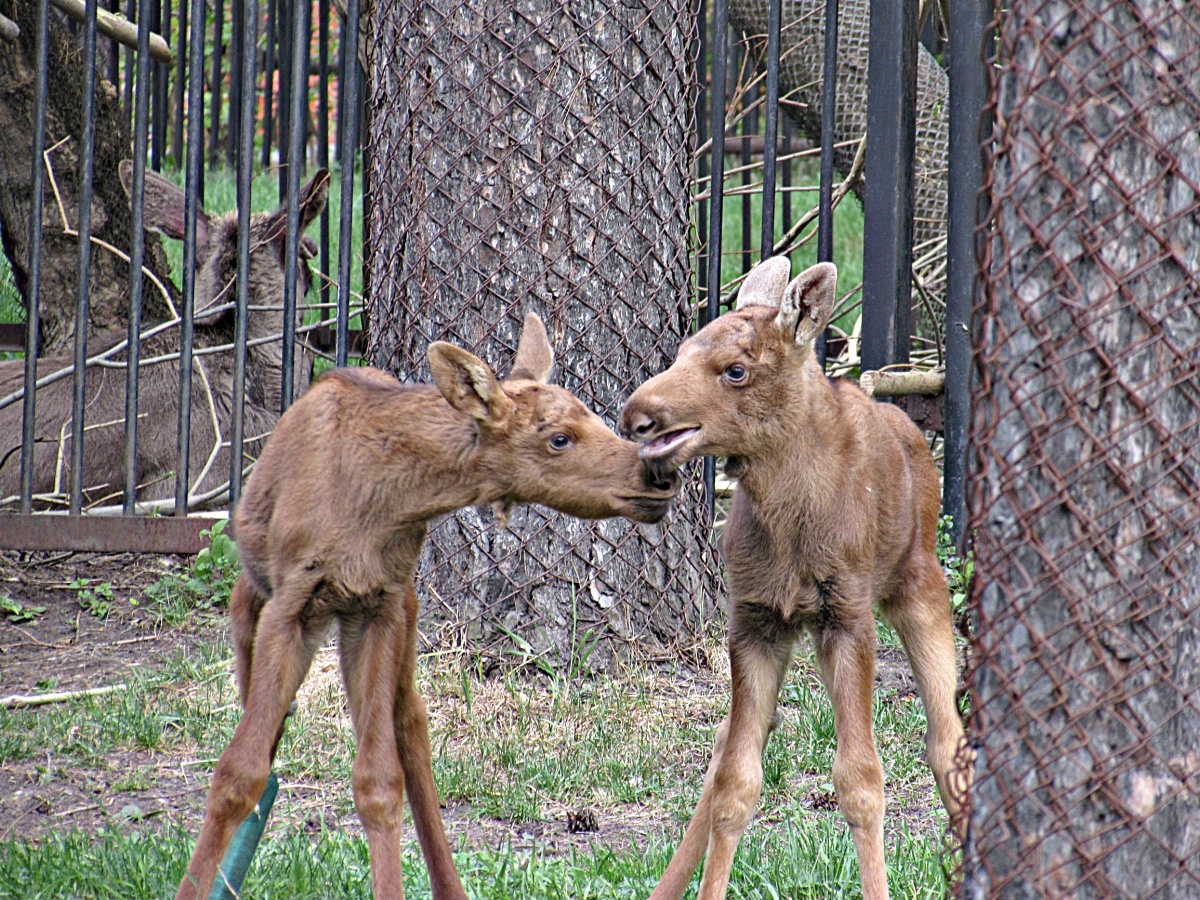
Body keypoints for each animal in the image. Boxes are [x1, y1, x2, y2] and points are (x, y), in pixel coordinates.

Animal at [174, 312, 681, 900]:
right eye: (559, 438)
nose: (659, 475)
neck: (379, 504)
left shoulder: (378, 605)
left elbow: (377, 781)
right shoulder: (292, 604)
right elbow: (240, 772)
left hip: (401, 611)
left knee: (411, 724)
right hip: (259, 607)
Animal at [619, 256, 964, 897]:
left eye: (736, 369)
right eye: (680, 352)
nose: (637, 416)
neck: (789, 522)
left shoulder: (847, 617)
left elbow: (861, 781)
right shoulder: (753, 621)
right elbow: (735, 782)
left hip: (919, 584)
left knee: (945, 737)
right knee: (725, 748)